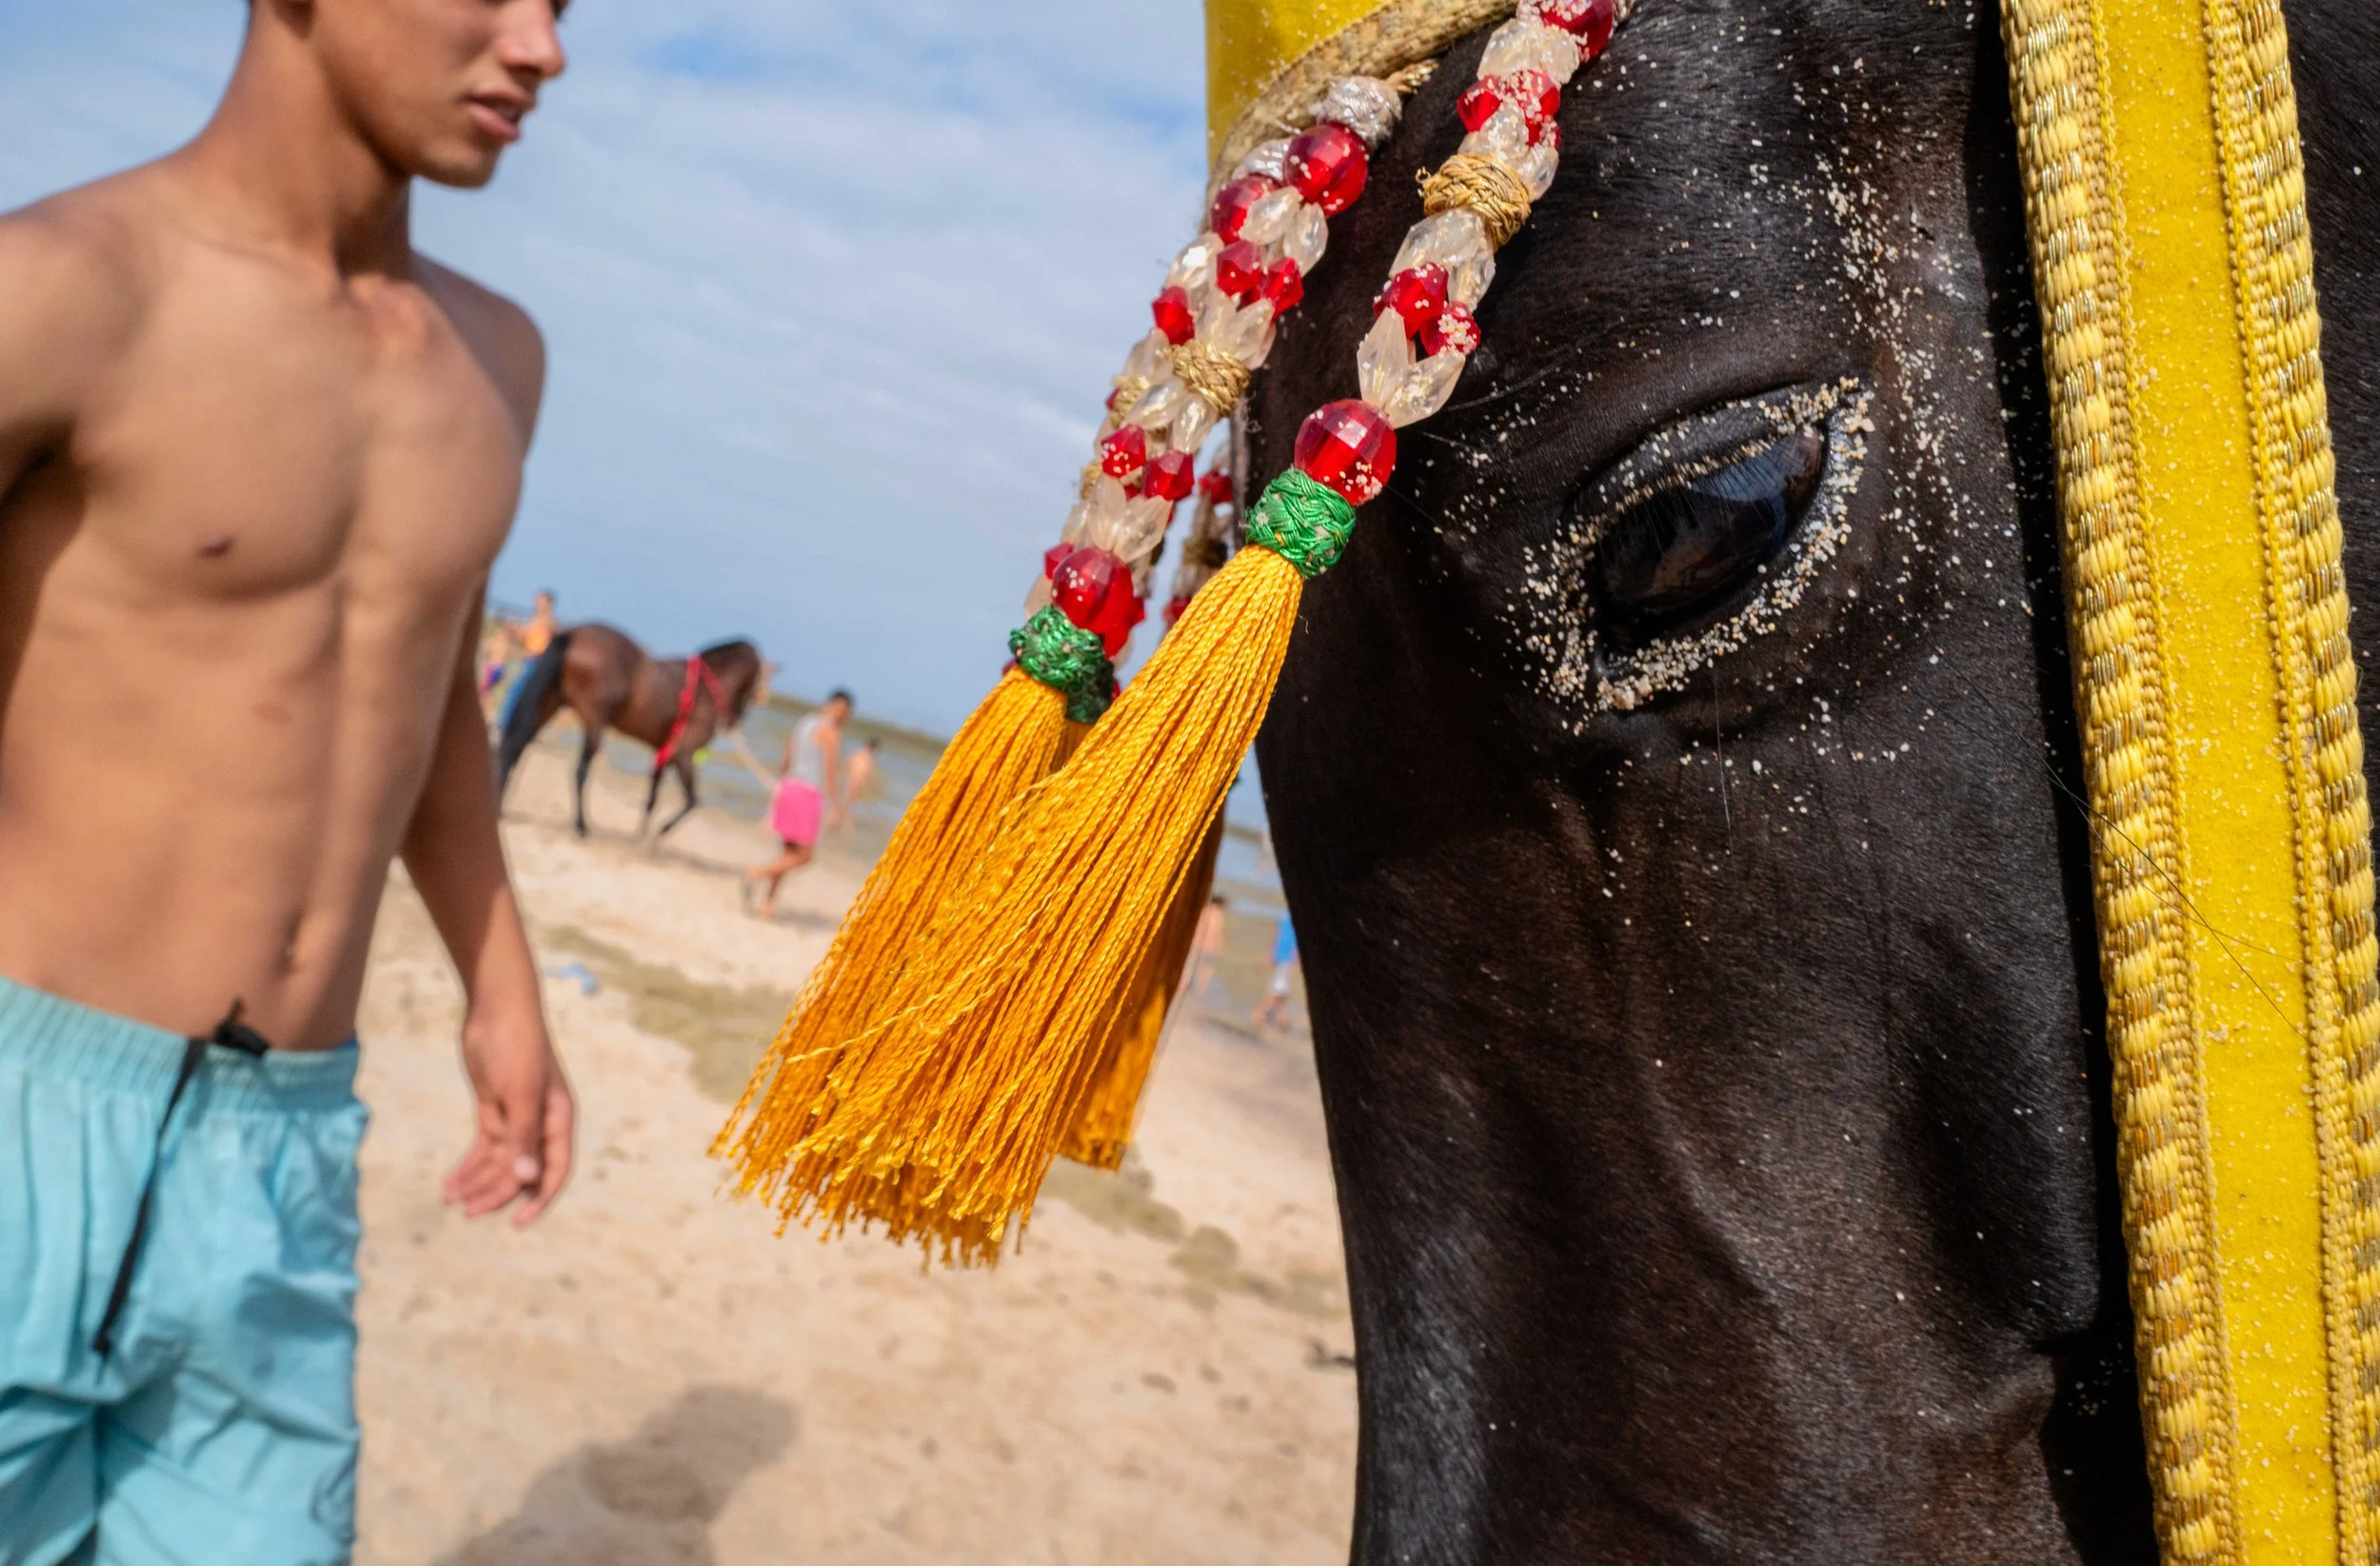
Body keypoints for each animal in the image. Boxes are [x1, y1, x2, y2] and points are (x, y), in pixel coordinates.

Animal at [493, 624, 767, 840]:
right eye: (758, 682)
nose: (734, 721)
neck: (703, 689)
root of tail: (575, 633)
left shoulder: (663, 754)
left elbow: (653, 799)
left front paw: (641, 837)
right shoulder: (683, 755)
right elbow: (692, 801)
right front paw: (659, 834)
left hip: (549, 704)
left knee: (515, 748)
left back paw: (501, 807)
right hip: (594, 722)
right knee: (580, 771)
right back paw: (581, 826)